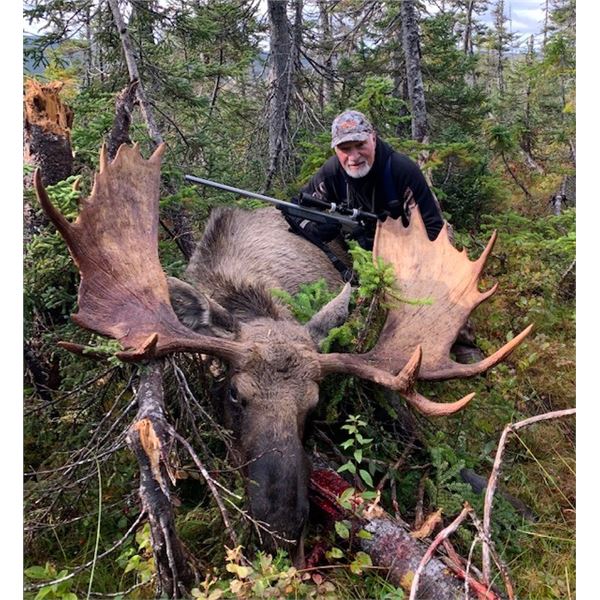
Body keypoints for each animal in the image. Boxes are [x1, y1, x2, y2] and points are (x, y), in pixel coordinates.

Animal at [34, 143, 528, 564]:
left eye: (313, 404)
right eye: (234, 395)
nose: (282, 528)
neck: (253, 297)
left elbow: (416, 430)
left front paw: (499, 496)